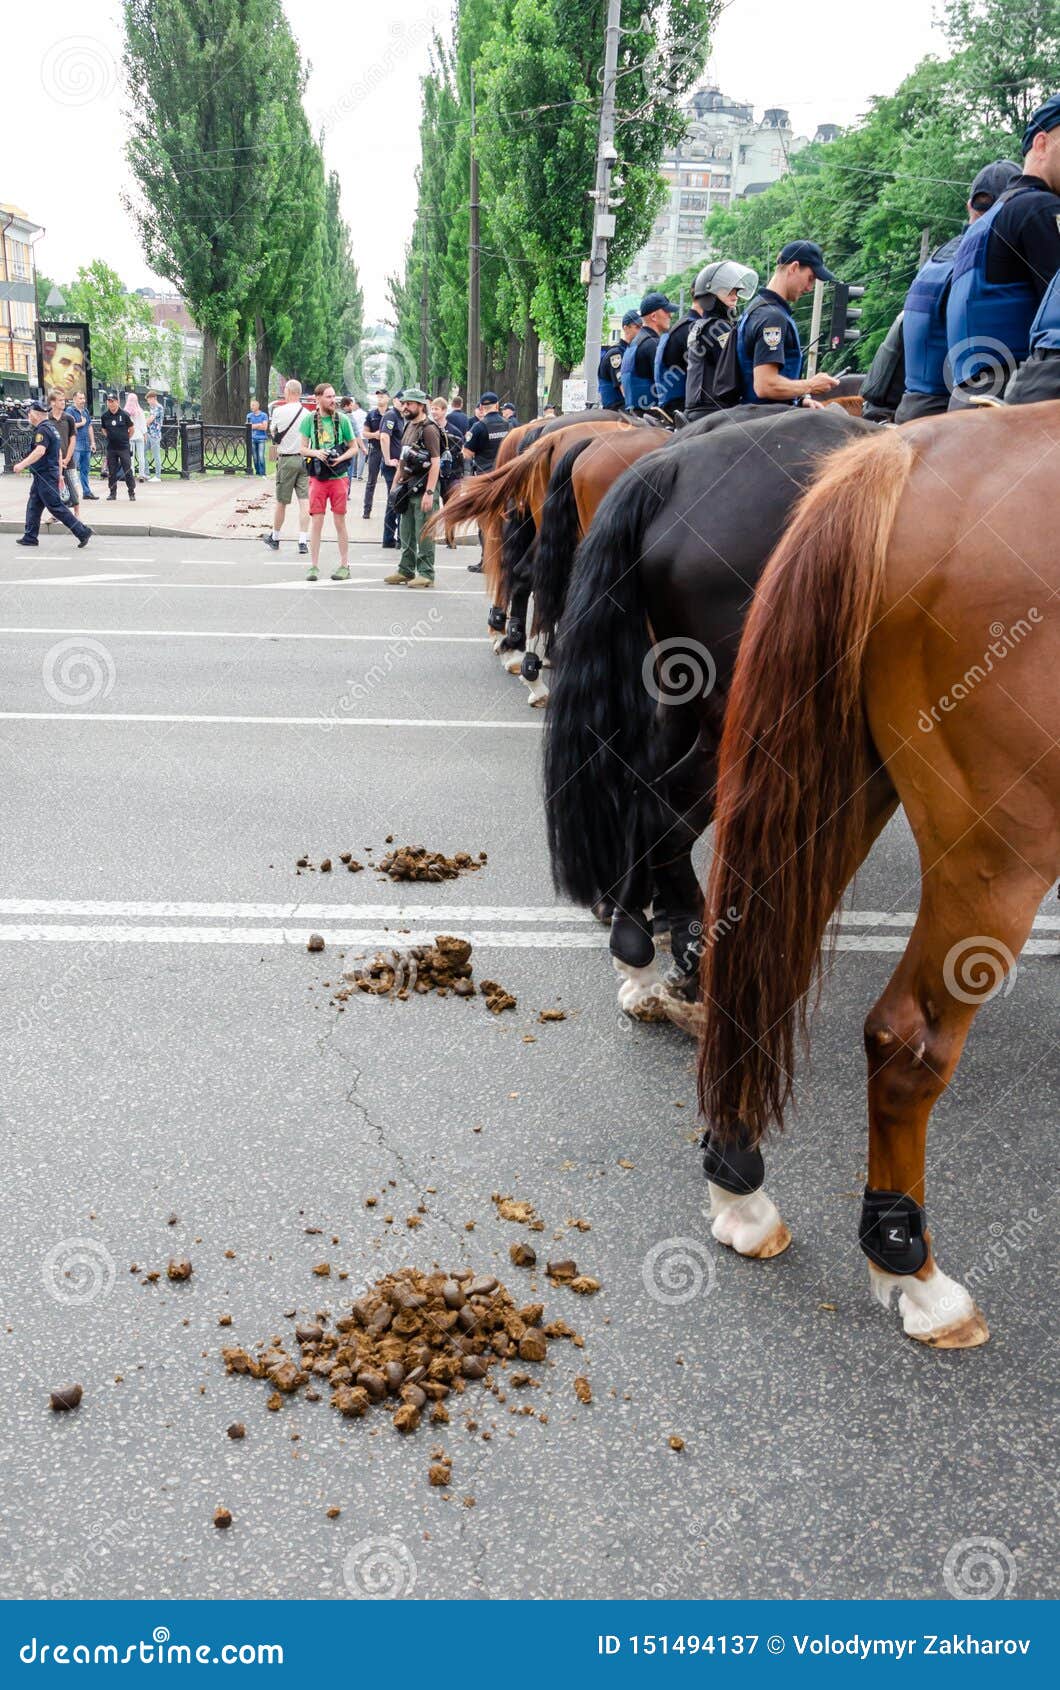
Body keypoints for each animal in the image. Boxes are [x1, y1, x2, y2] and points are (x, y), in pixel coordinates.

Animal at [696, 398, 1060, 1345]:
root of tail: (906, 452)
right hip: (997, 853)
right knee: (906, 1039)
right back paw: (912, 1268)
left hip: (838, 789)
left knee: (754, 970)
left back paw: (740, 1191)